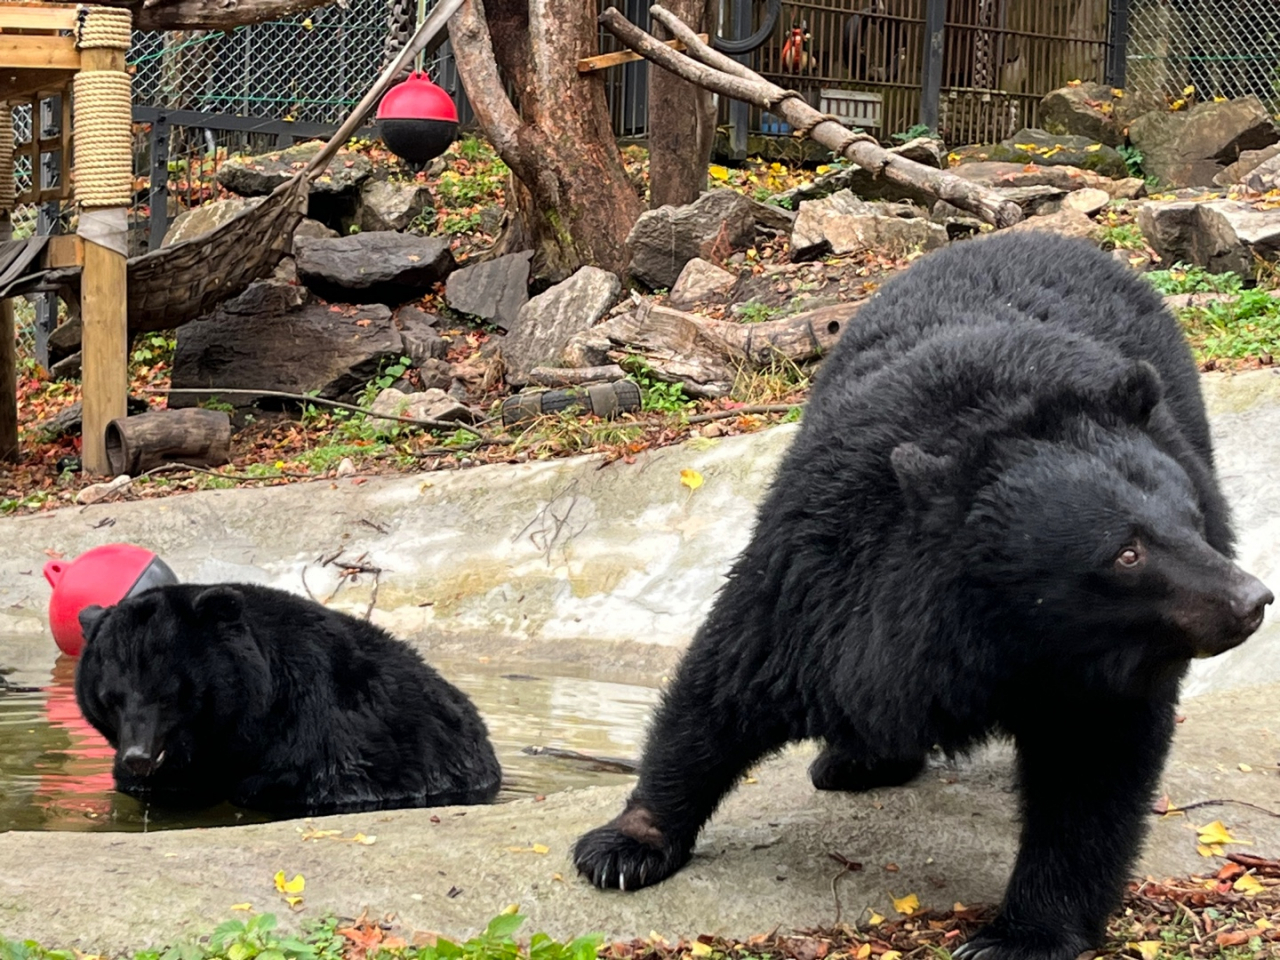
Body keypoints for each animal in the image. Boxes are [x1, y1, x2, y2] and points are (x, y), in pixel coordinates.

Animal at [578, 232, 1269, 960]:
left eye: (1194, 520)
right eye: (1126, 552)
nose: (1250, 600)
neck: (1003, 636)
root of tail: (1043, 236)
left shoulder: (1107, 668)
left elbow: (1094, 769)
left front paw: (1018, 935)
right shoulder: (826, 567)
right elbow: (732, 676)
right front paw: (623, 848)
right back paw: (854, 760)